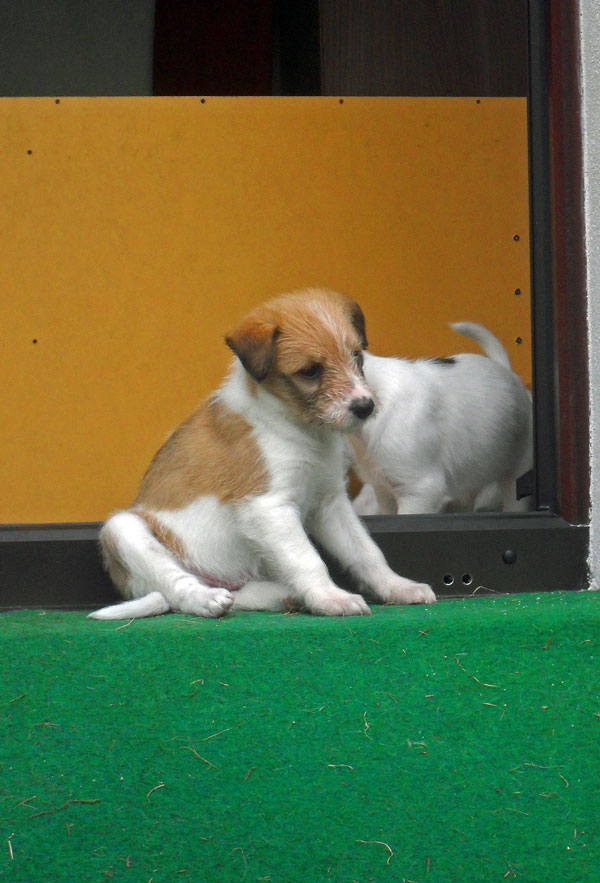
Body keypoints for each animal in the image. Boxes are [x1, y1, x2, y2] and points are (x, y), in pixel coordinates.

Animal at [89, 288, 436, 620]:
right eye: (310, 371)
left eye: (356, 355)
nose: (365, 407)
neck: (301, 429)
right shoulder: (268, 507)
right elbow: (307, 558)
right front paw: (331, 598)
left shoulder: (330, 501)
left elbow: (366, 551)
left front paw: (398, 587)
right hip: (124, 530)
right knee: (176, 588)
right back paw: (205, 599)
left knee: (246, 595)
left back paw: (288, 596)